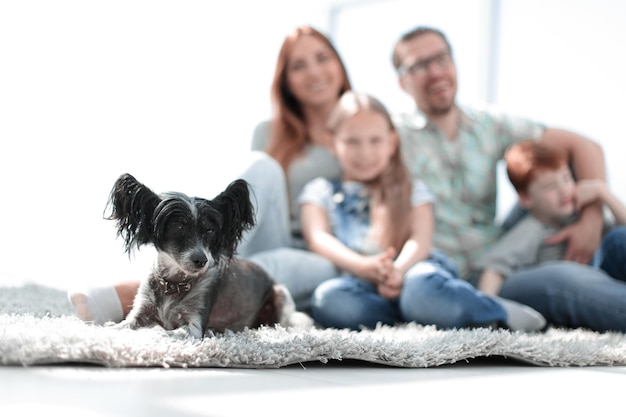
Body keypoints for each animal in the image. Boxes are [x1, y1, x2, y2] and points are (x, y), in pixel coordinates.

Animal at [106, 172, 312, 338]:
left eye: (210, 231)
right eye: (178, 227)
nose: (202, 260)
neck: (174, 284)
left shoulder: (195, 325)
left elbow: (167, 333)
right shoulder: (140, 313)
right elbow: (121, 326)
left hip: (280, 295)